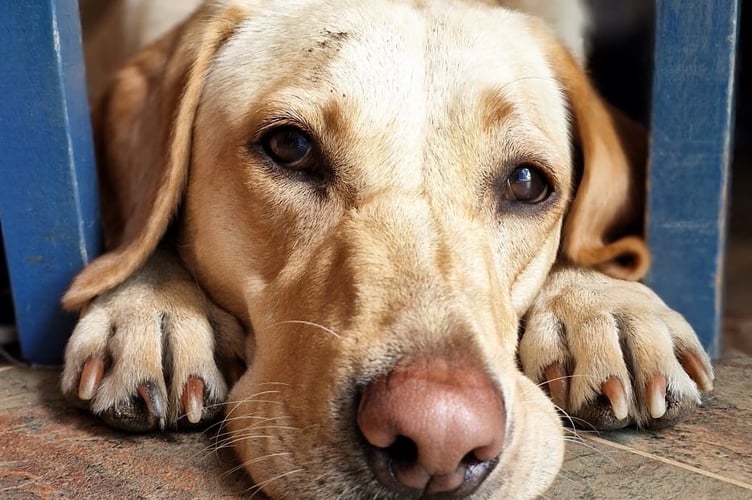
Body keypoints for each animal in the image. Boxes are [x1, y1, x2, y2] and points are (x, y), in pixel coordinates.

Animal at [63, 1, 712, 498]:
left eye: (528, 182)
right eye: (290, 147)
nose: (439, 440)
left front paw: (608, 306)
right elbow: (142, 229)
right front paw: (151, 309)